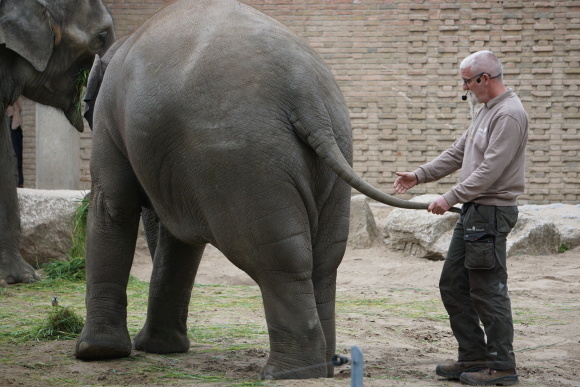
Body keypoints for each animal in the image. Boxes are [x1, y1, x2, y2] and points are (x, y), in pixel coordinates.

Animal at [78, 0, 440, 380]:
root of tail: (305, 94)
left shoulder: (108, 121)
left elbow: (113, 206)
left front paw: (97, 353)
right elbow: (179, 241)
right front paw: (158, 349)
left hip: (243, 161)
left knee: (277, 256)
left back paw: (284, 373)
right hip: (334, 148)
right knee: (324, 258)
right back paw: (322, 368)